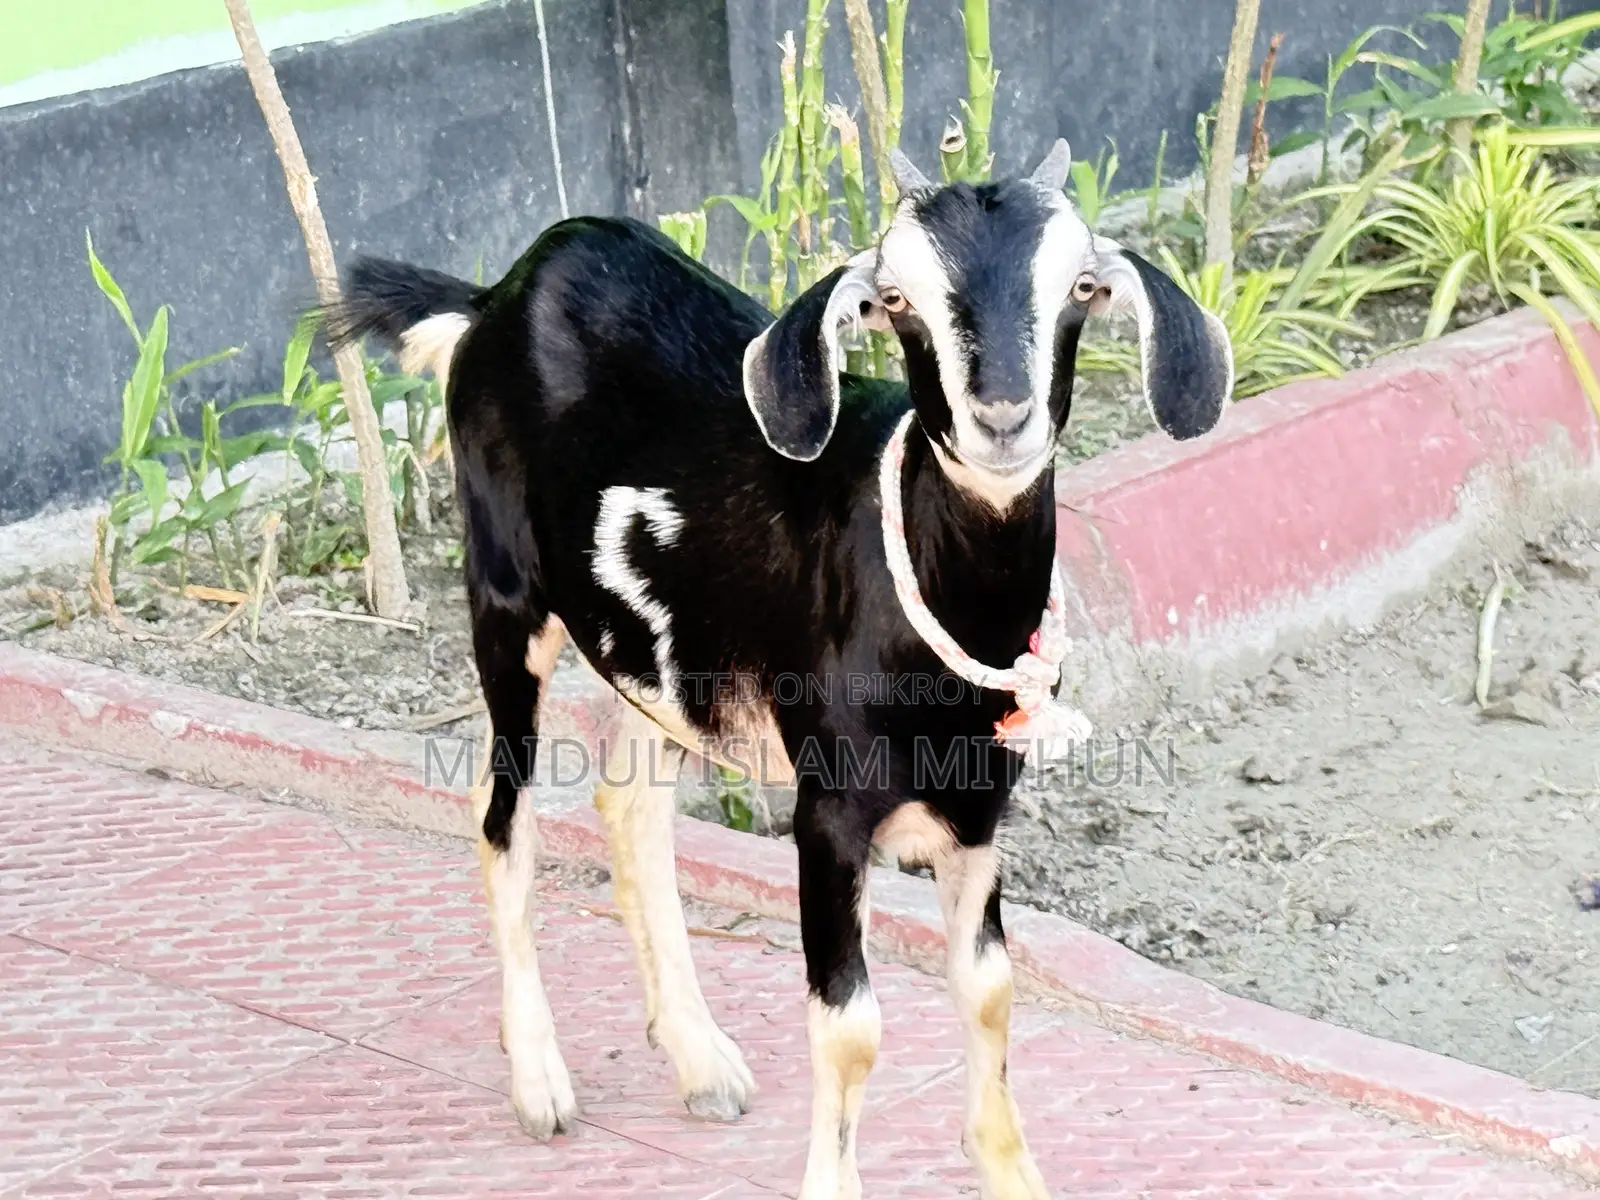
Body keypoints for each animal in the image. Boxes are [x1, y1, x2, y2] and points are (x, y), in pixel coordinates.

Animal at [326, 140, 1231, 1200]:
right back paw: (540, 1079)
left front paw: (1012, 1174)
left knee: (629, 805)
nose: (1001, 418)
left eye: (1081, 289)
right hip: (508, 600)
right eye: (897, 300)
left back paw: (698, 1058)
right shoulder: (829, 812)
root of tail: (499, 291)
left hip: (660, 654)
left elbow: (991, 990)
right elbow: (850, 1029)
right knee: (501, 814)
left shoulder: (979, 808)